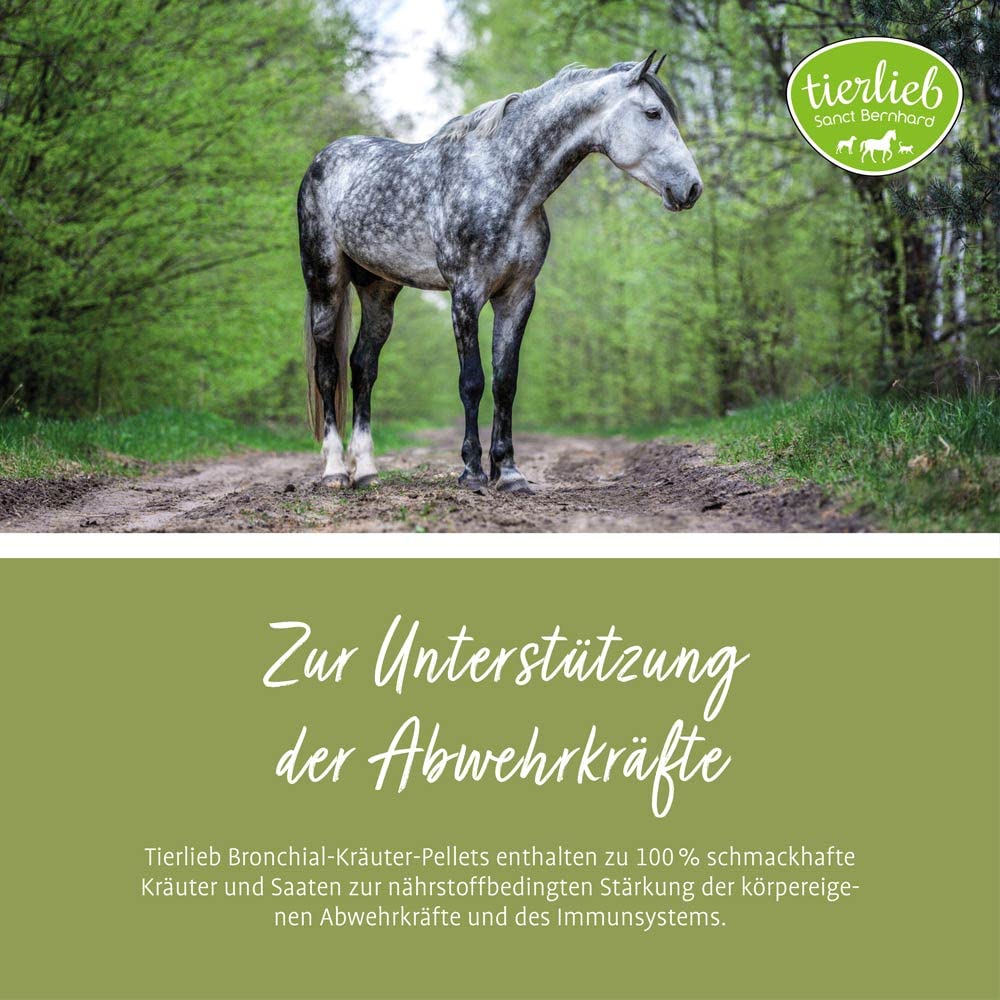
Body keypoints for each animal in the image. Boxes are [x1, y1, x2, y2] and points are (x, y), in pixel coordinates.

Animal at [297, 52, 702, 492]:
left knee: (363, 369)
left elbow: (505, 381)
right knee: (328, 371)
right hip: (325, 284)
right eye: (653, 112)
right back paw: (335, 470)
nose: (692, 188)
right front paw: (472, 471)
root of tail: (323, 158)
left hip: (379, 290)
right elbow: (472, 381)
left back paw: (368, 470)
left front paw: (508, 472)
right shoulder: (466, 295)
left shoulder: (517, 296)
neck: (505, 183)